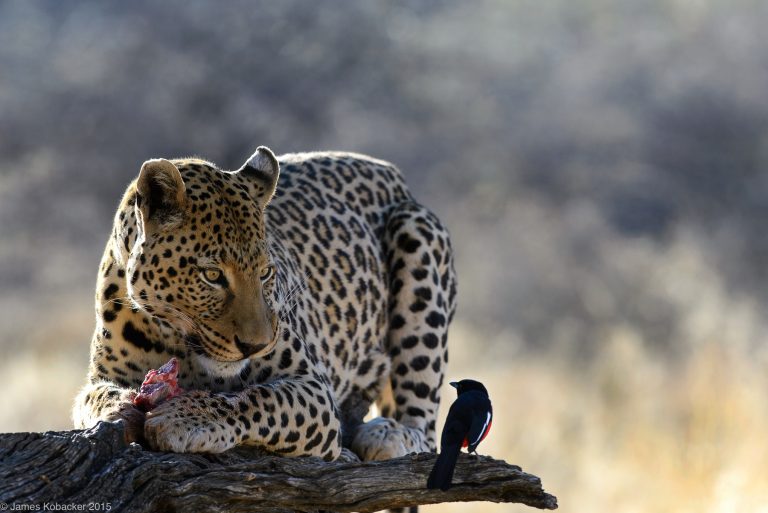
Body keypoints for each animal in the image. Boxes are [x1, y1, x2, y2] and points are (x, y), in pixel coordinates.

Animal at [73, 146, 456, 462]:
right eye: (212, 275)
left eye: (266, 272)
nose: (255, 346)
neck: (177, 342)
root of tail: (393, 174)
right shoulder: (102, 377)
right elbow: (91, 397)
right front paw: (118, 407)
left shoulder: (313, 388)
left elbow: (259, 400)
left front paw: (188, 417)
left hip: (416, 234)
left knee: (426, 429)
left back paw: (388, 435)